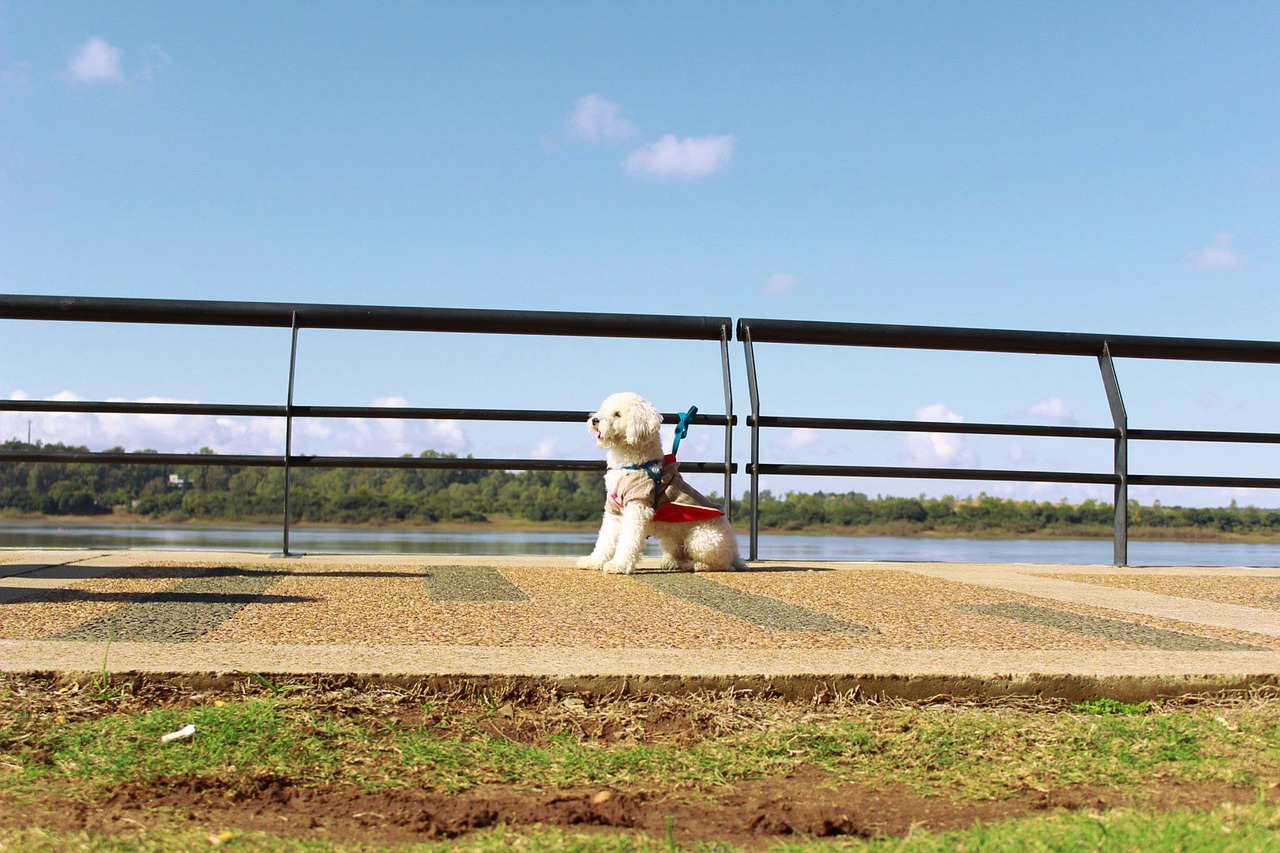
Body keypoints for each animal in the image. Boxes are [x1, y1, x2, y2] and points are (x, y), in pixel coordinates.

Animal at [578, 389, 747, 571]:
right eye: (603, 409)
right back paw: (673, 562)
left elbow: (628, 540)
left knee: (723, 564)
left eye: (617, 414)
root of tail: (736, 552)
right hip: (673, 541)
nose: (594, 420)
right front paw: (593, 561)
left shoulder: (637, 506)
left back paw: (698, 565)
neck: (632, 465)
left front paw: (619, 564)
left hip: (702, 539)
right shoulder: (613, 508)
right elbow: (605, 539)